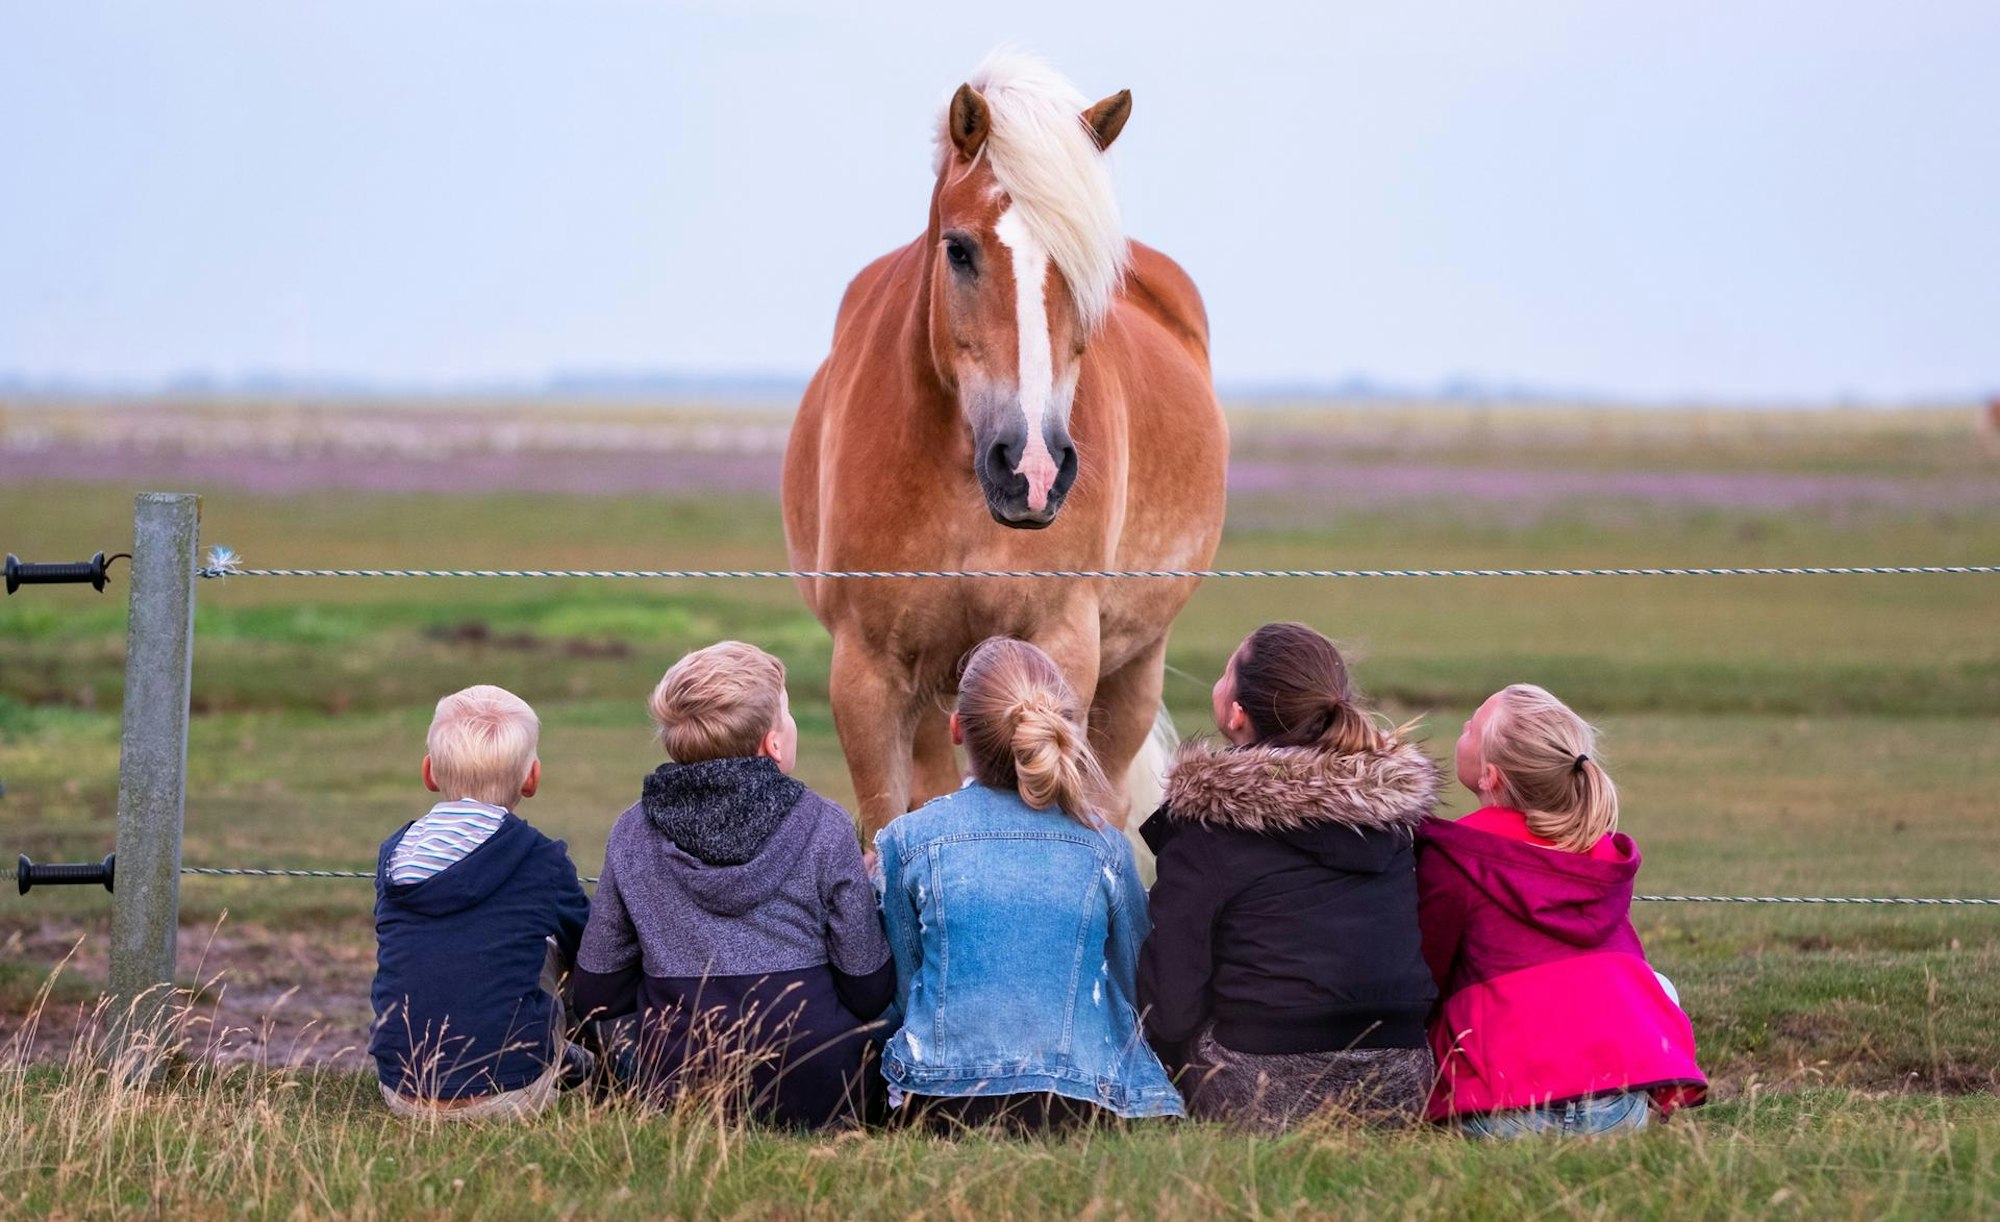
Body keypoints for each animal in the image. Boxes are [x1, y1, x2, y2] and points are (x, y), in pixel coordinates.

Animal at [782, 50, 1228, 834]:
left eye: (1090, 270)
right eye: (959, 250)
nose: (1033, 470)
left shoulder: (1061, 648)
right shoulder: (868, 675)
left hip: (1136, 662)